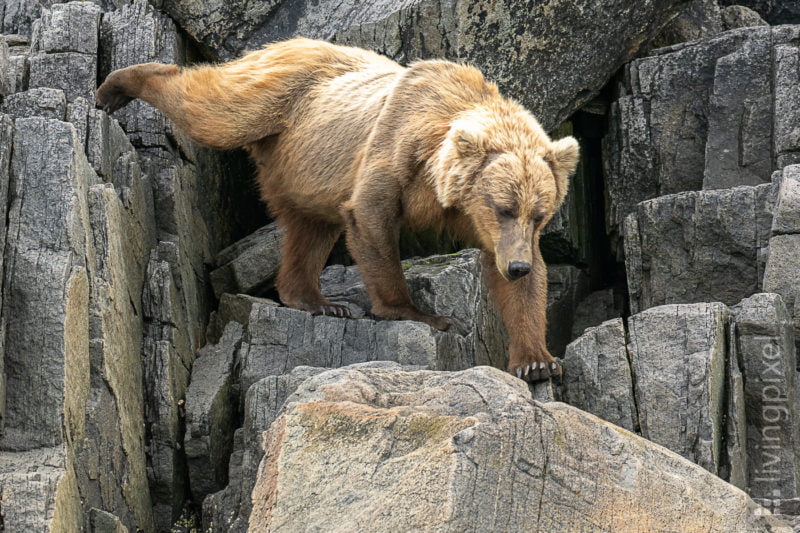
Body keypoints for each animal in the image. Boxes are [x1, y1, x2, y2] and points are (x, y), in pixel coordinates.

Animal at [97, 37, 580, 380]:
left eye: (539, 214)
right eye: (503, 206)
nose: (515, 265)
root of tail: (288, 43)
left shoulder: (482, 225)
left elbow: (523, 288)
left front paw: (537, 360)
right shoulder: (396, 148)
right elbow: (371, 219)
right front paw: (424, 313)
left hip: (304, 165)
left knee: (309, 230)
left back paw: (318, 300)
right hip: (281, 101)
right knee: (216, 111)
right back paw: (119, 84)